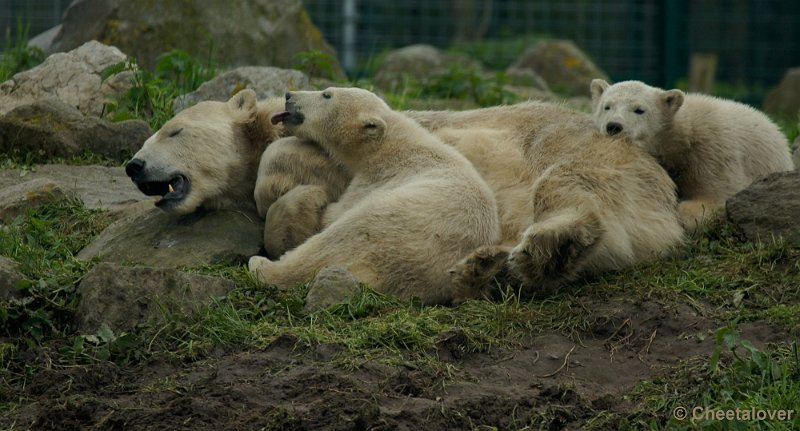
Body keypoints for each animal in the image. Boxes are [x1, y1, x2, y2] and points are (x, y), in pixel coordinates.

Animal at [250, 87, 500, 304]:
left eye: (327, 94)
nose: (289, 95)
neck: (391, 143)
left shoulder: (378, 177)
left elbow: (334, 214)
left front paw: (312, 195)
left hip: (392, 224)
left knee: (334, 242)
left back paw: (264, 265)